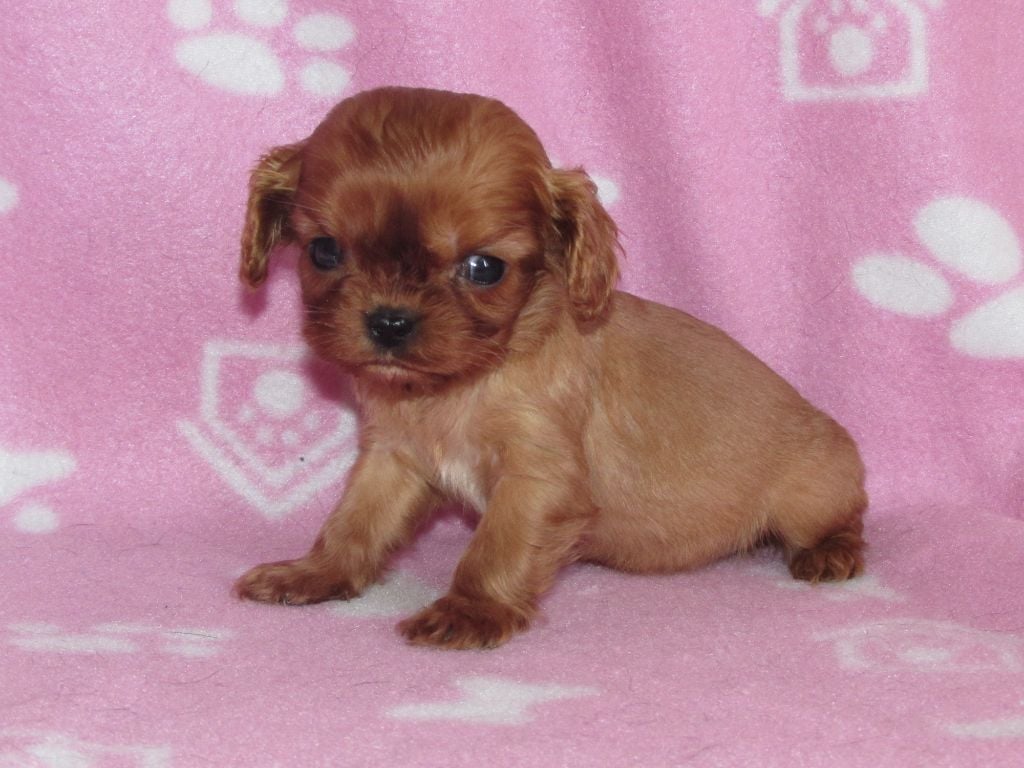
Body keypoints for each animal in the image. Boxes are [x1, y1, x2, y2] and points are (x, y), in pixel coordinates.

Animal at [233, 86, 867, 649]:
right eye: (324, 251)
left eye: (484, 267)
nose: (389, 323)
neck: (458, 386)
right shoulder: (392, 459)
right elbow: (354, 522)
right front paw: (314, 573)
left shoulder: (538, 479)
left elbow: (496, 549)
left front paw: (471, 611)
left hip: (811, 494)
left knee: (847, 519)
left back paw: (830, 552)